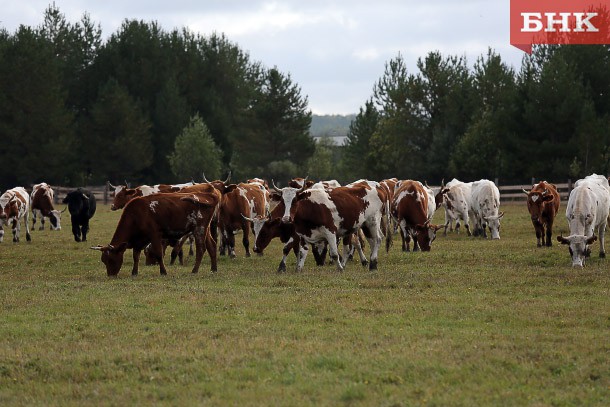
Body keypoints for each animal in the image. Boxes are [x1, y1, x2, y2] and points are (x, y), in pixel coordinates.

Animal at [90, 191, 218, 278]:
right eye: (104, 260)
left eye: (111, 259)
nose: (111, 275)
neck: (137, 214)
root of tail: (208, 196)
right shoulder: (139, 240)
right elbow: (136, 256)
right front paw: (134, 272)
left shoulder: (155, 235)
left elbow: (158, 254)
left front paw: (163, 272)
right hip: (205, 229)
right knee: (212, 246)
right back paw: (213, 269)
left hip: (199, 229)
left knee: (201, 249)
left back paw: (194, 270)